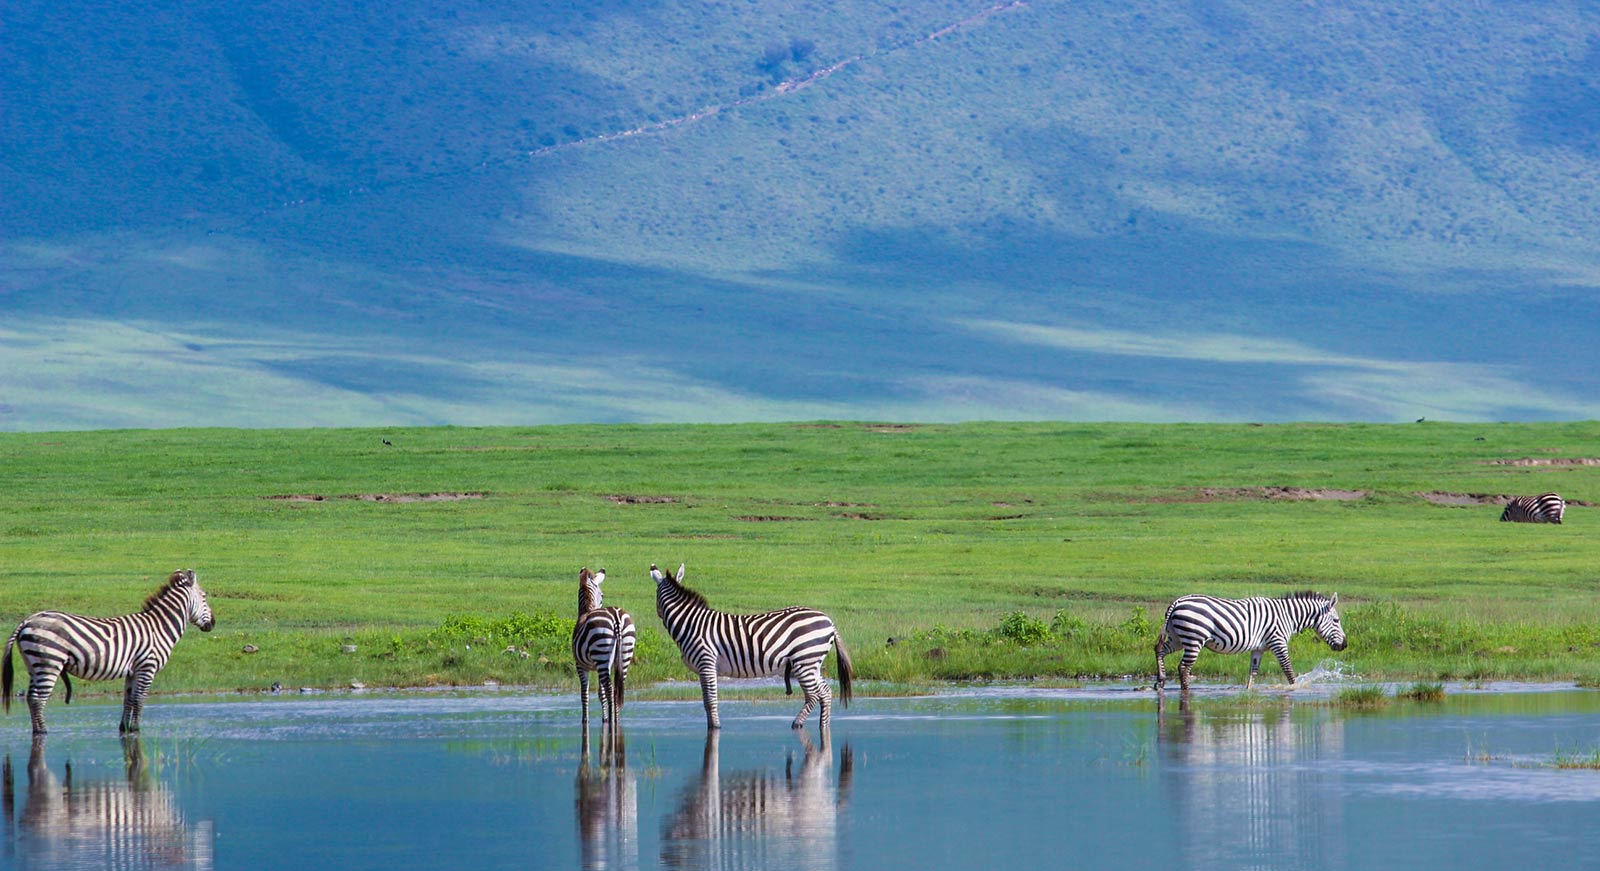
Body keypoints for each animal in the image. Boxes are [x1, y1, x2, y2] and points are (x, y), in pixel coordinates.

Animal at [2, 566, 216, 730]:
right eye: (204, 596)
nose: (212, 624)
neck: (159, 627)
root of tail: (27, 620)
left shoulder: (133, 670)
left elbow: (128, 699)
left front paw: (125, 728)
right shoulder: (147, 667)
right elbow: (139, 699)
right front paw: (136, 729)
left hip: (33, 664)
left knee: (31, 698)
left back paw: (37, 731)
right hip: (49, 662)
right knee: (38, 699)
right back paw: (43, 732)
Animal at [569, 563, 630, 726]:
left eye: (601, 596)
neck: (587, 609)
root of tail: (616, 617)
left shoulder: (581, 665)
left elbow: (585, 693)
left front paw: (585, 720)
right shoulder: (601, 666)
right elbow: (600, 693)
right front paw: (604, 718)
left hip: (601, 651)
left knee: (610, 689)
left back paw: (612, 721)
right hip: (624, 654)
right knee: (617, 689)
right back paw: (615, 718)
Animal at [649, 563, 857, 736]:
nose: (658, 614)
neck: (691, 623)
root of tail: (829, 621)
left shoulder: (706, 662)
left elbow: (710, 700)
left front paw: (715, 727)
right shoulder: (704, 668)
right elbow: (706, 700)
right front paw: (712, 725)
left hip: (804, 661)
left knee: (814, 694)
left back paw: (797, 724)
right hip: (812, 663)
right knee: (826, 692)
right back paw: (824, 726)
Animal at [1152, 589, 1350, 691]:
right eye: (1336, 621)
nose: (1344, 645)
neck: (1288, 616)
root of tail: (1177, 602)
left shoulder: (1258, 648)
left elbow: (1253, 672)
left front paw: (1249, 691)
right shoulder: (1278, 642)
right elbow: (1288, 670)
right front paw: (1295, 689)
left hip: (1178, 638)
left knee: (1159, 650)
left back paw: (1161, 680)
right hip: (1194, 639)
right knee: (1183, 667)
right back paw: (1186, 691)